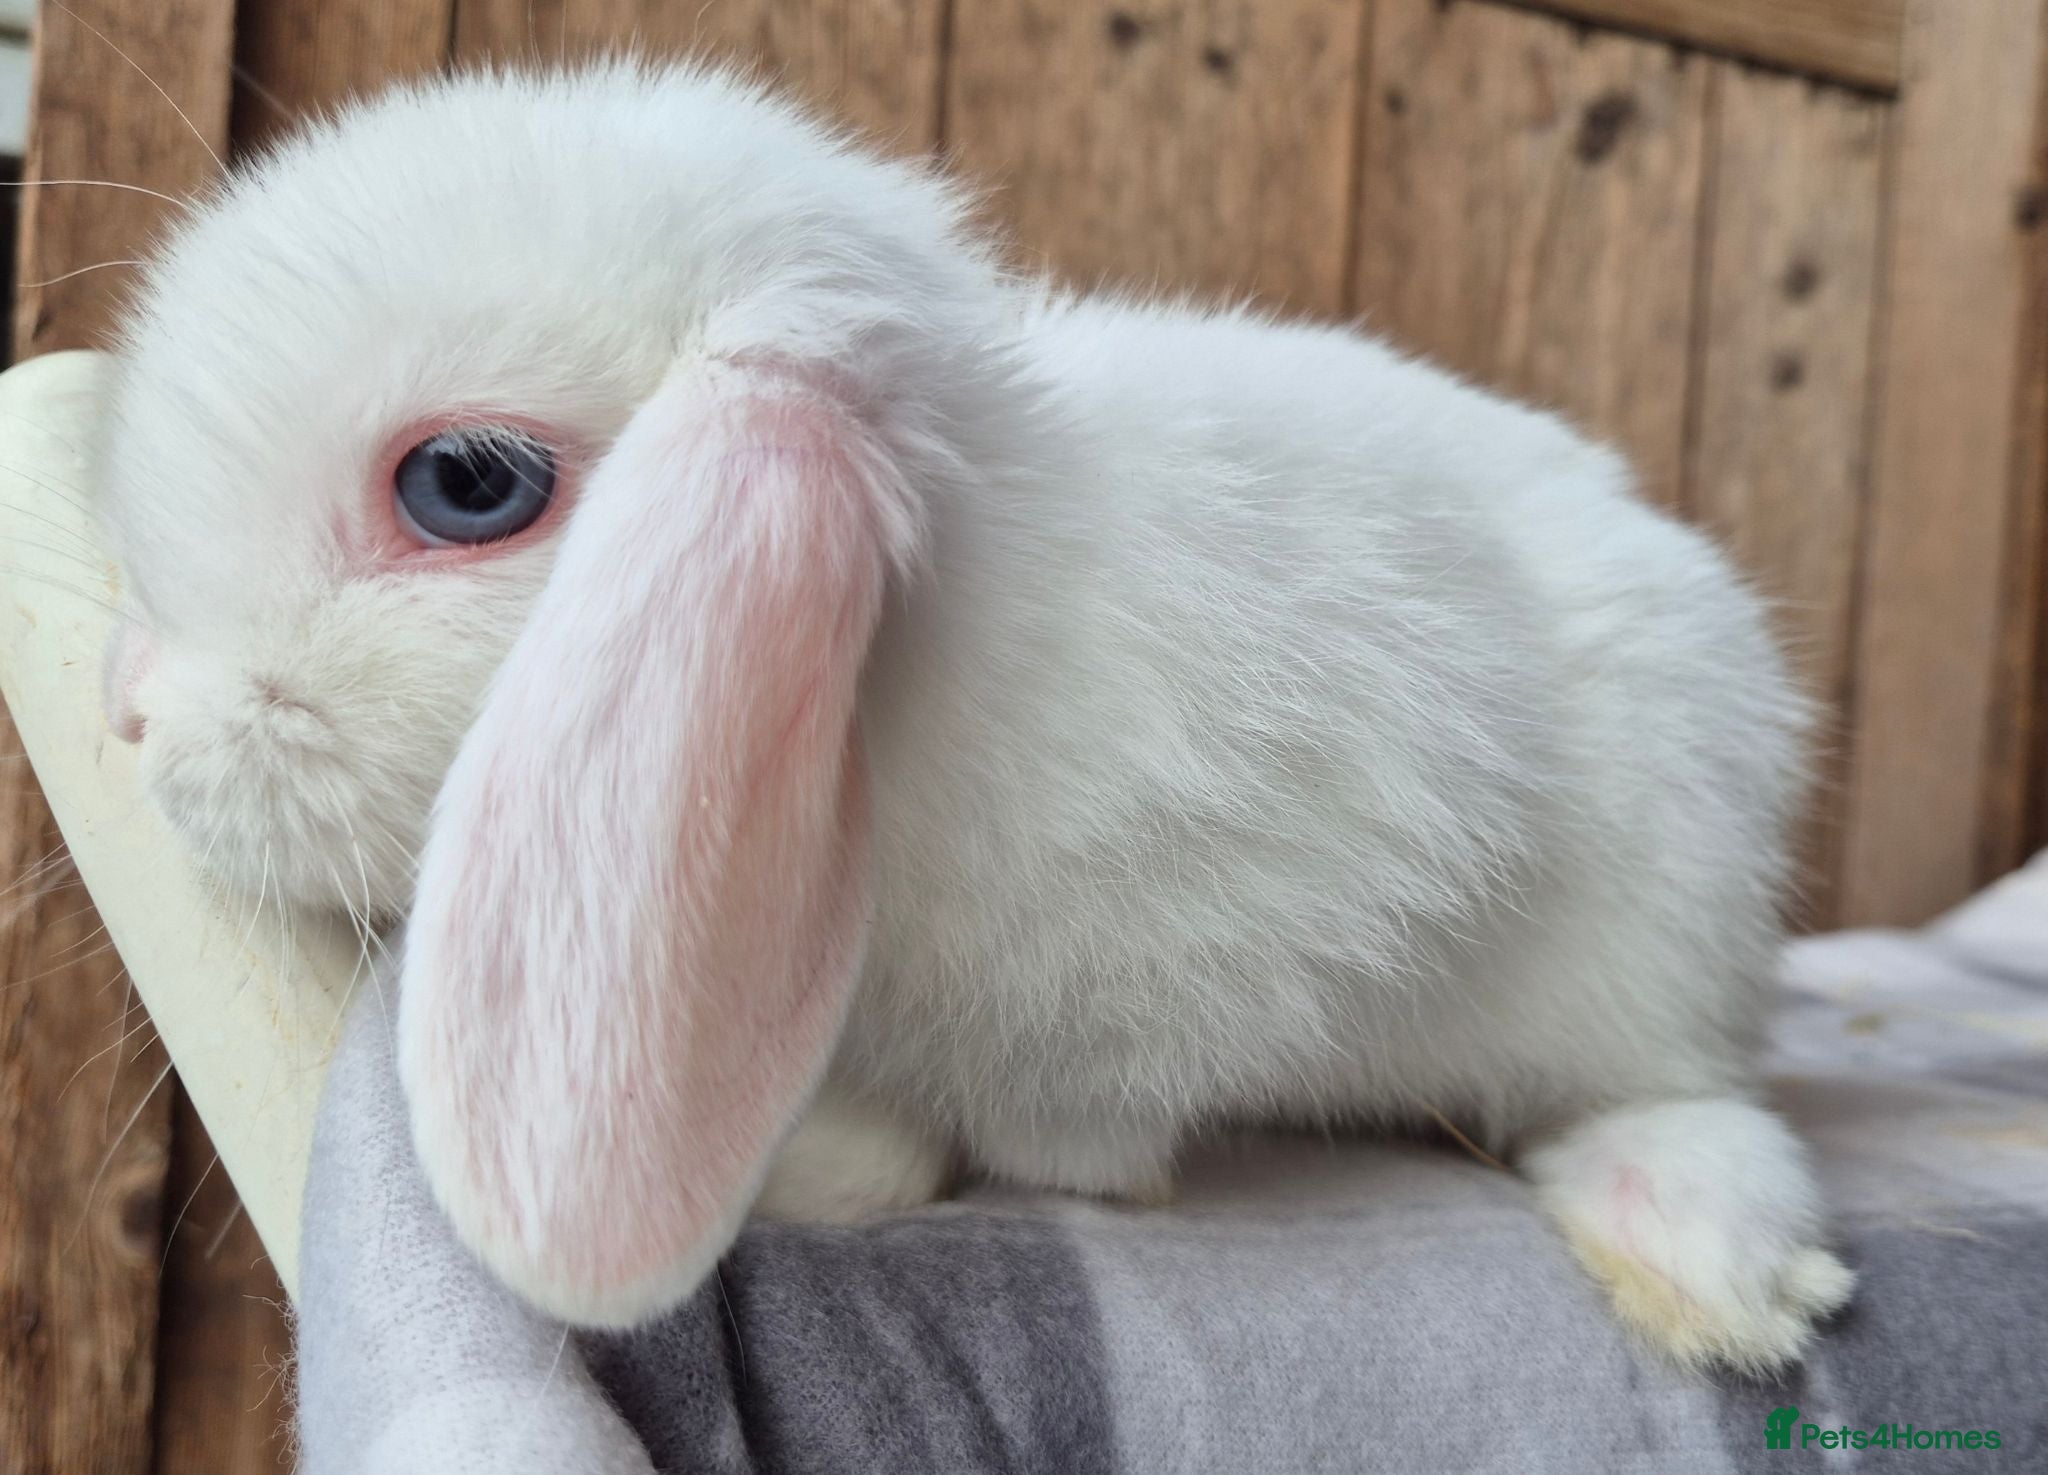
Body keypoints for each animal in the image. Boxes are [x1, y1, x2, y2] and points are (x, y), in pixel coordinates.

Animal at [97, 60, 1851, 1372]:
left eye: (466, 483)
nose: (131, 715)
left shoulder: (1157, 980)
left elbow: (1042, 1140)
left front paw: (825, 1169)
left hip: (1660, 919)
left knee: (1677, 1088)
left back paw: (1708, 1261)